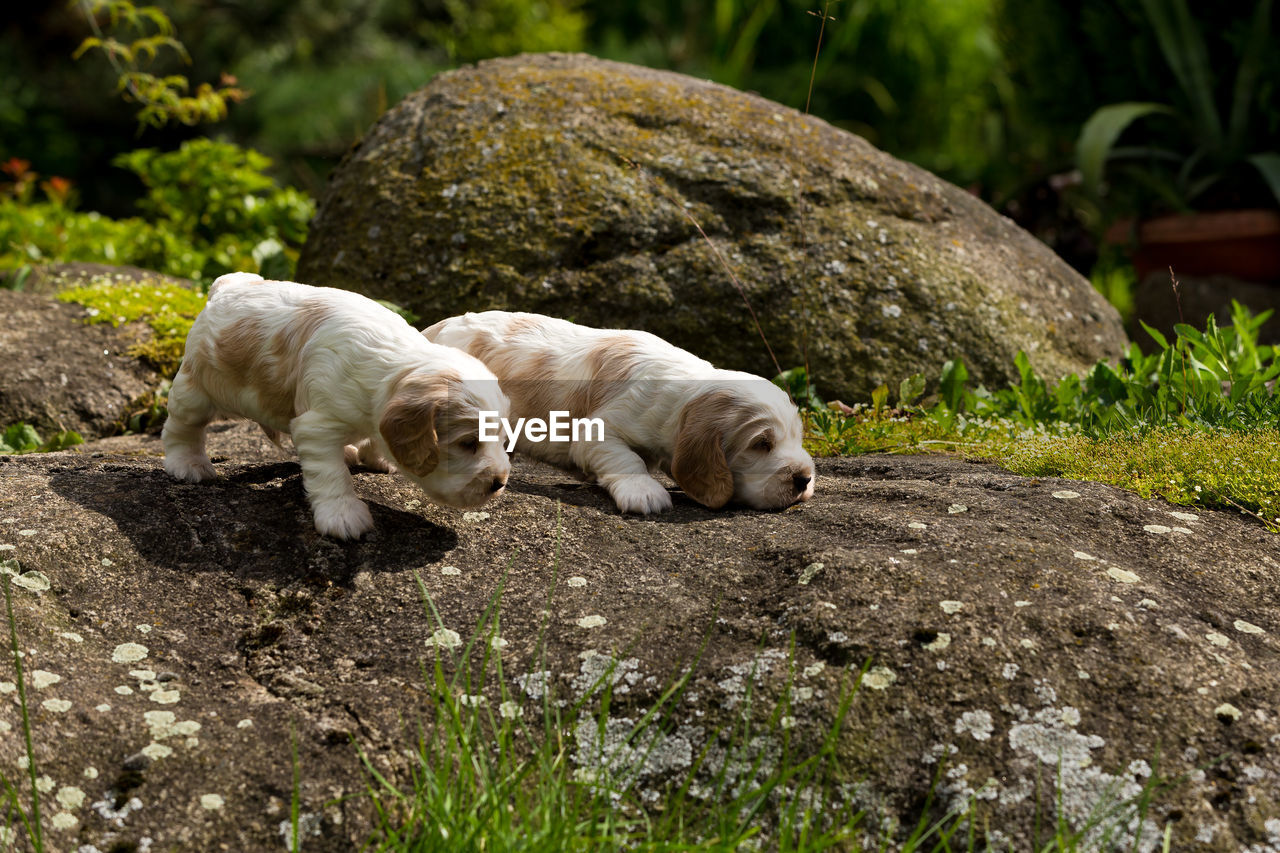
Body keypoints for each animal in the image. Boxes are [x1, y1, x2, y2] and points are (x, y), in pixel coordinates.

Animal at [162, 272, 512, 537]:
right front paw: (343, 515)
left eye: (502, 439)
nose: (499, 483)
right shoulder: (318, 426)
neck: (395, 362)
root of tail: (229, 284)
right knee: (182, 426)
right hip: (197, 388)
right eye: (468, 443)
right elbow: (331, 475)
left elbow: (373, 439)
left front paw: (374, 457)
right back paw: (189, 464)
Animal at [424, 311, 814, 512]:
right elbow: (629, 460)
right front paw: (645, 493)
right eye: (761, 444)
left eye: (798, 438)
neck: (684, 393)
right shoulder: (598, 431)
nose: (804, 479)